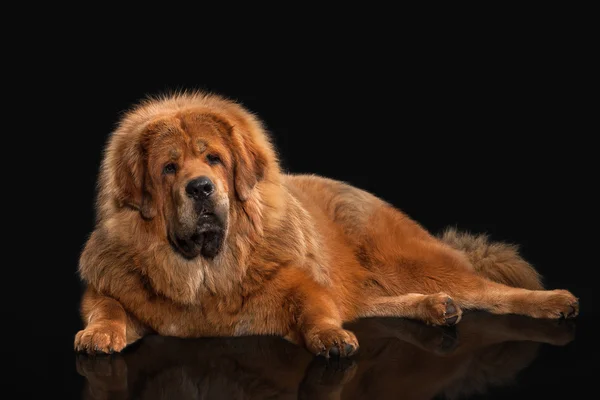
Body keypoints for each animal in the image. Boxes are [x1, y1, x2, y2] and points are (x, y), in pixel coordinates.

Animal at [72, 92, 580, 358]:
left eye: (213, 159)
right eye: (169, 169)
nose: (201, 188)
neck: (205, 270)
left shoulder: (303, 283)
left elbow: (314, 308)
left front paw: (331, 338)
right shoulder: (109, 287)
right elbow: (107, 306)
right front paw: (99, 334)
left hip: (406, 260)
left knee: (489, 290)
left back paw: (553, 301)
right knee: (372, 301)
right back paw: (435, 306)